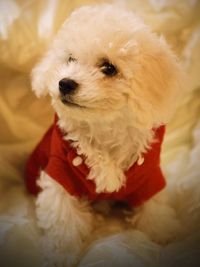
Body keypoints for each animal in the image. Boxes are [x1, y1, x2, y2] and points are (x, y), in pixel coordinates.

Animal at [26, 4, 184, 267]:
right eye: (70, 59)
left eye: (108, 68)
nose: (64, 83)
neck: (104, 127)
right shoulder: (60, 170)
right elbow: (63, 216)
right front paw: (61, 254)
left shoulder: (149, 174)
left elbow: (153, 206)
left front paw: (164, 231)